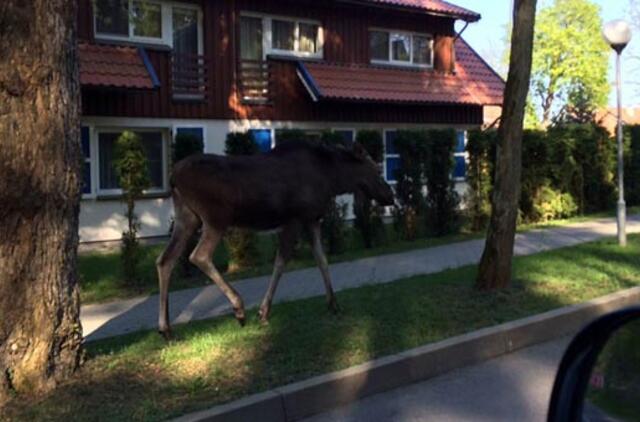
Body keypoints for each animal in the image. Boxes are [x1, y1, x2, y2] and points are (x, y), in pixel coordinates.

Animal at [156, 138, 396, 340]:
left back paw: (166, 328)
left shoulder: (311, 219)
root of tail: (173, 177)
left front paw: (333, 303)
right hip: (215, 218)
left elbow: (322, 260)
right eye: (376, 169)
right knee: (199, 256)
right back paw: (239, 308)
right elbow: (280, 263)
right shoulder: (293, 220)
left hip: (187, 217)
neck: (333, 179)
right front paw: (263, 312)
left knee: (165, 260)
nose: (390, 195)